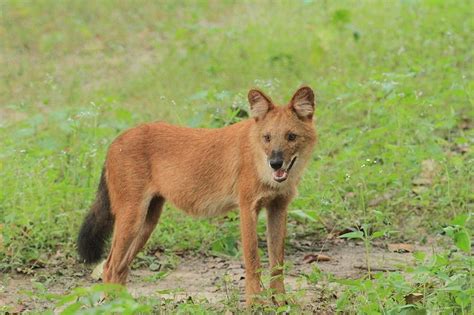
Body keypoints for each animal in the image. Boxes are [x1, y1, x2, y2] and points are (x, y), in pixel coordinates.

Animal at [76, 86, 316, 306]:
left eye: (291, 137)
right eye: (267, 138)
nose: (275, 163)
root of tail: (114, 141)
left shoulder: (278, 208)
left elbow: (278, 261)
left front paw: (281, 302)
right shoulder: (247, 208)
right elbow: (253, 260)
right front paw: (255, 304)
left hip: (148, 221)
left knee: (121, 267)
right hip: (132, 218)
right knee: (109, 266)